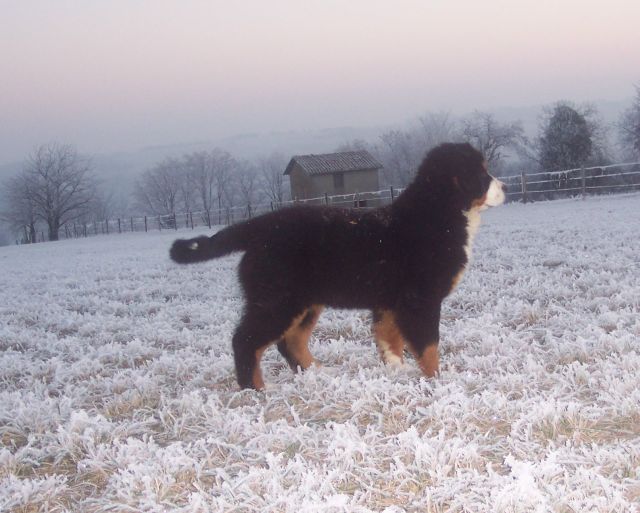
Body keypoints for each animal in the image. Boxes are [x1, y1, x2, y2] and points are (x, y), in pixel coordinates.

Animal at [169, 141, 504, 388]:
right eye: (481, 173)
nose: (503, 188)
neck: (436, 213)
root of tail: (261, 225)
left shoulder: (390, 301)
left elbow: (389, 337)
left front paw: (395, 368)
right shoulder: (420, 300)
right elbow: (429, 344)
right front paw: (438, 379)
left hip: (304, 302)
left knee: (290, 342)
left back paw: (317, 372)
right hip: (277, 300)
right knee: (246, 341)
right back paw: (255, 390)